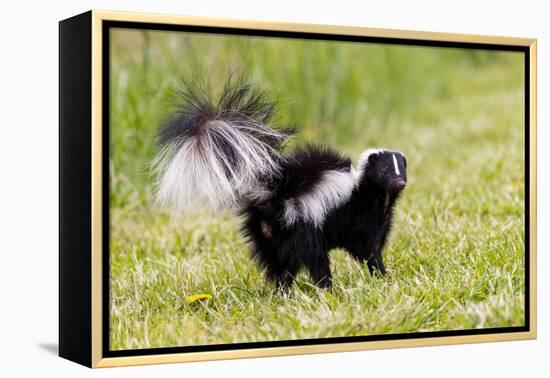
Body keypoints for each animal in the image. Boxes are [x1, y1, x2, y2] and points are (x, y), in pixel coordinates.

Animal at [153, 75, 408, 290]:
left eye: (403, 169)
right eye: (385, 171)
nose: (400, 182)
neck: (373, 195)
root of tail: (276, 196)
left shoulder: (379, 220)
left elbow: (372, 247)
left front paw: (382, 276)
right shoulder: (359, 219)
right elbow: (367, 251)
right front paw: (383, 276)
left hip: (267, 236)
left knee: (280, 266)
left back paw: (284, 292)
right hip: (302, 227)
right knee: (314, 261)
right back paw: (326, 288)